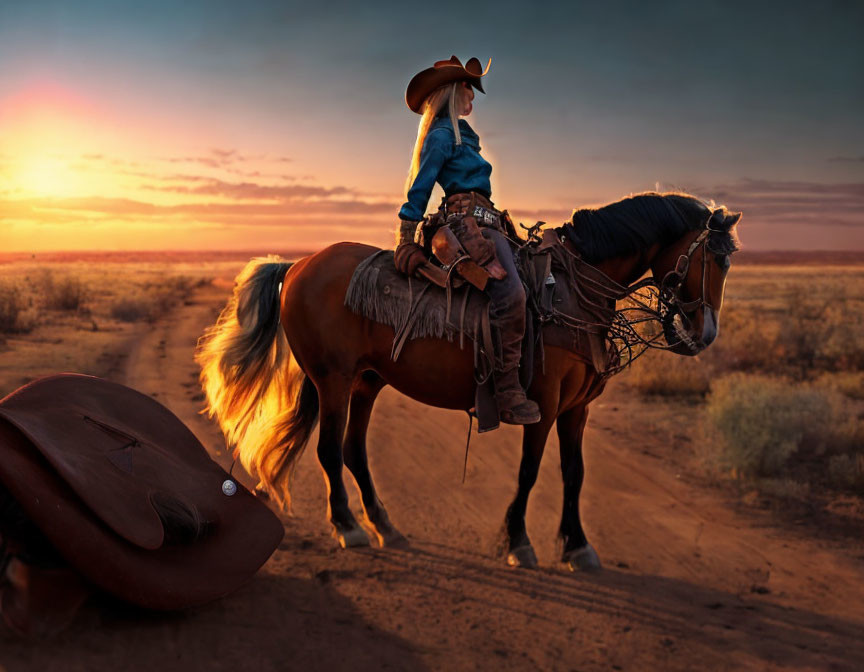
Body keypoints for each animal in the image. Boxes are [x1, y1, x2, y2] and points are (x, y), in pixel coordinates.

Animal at [197, 190, 744, 572]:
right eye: (713, 259)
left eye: (729, 260)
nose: (705, 333)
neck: (573, 290)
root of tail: (299, 265)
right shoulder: (543, 403)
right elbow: (529, 472)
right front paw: (519, 542)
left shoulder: (577, 408)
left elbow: (574, 473)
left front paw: (579, 547)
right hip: (332, 378)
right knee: (331, 450)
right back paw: (350, 527)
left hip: (367, 380)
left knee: (353, 450)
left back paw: (385, 525)